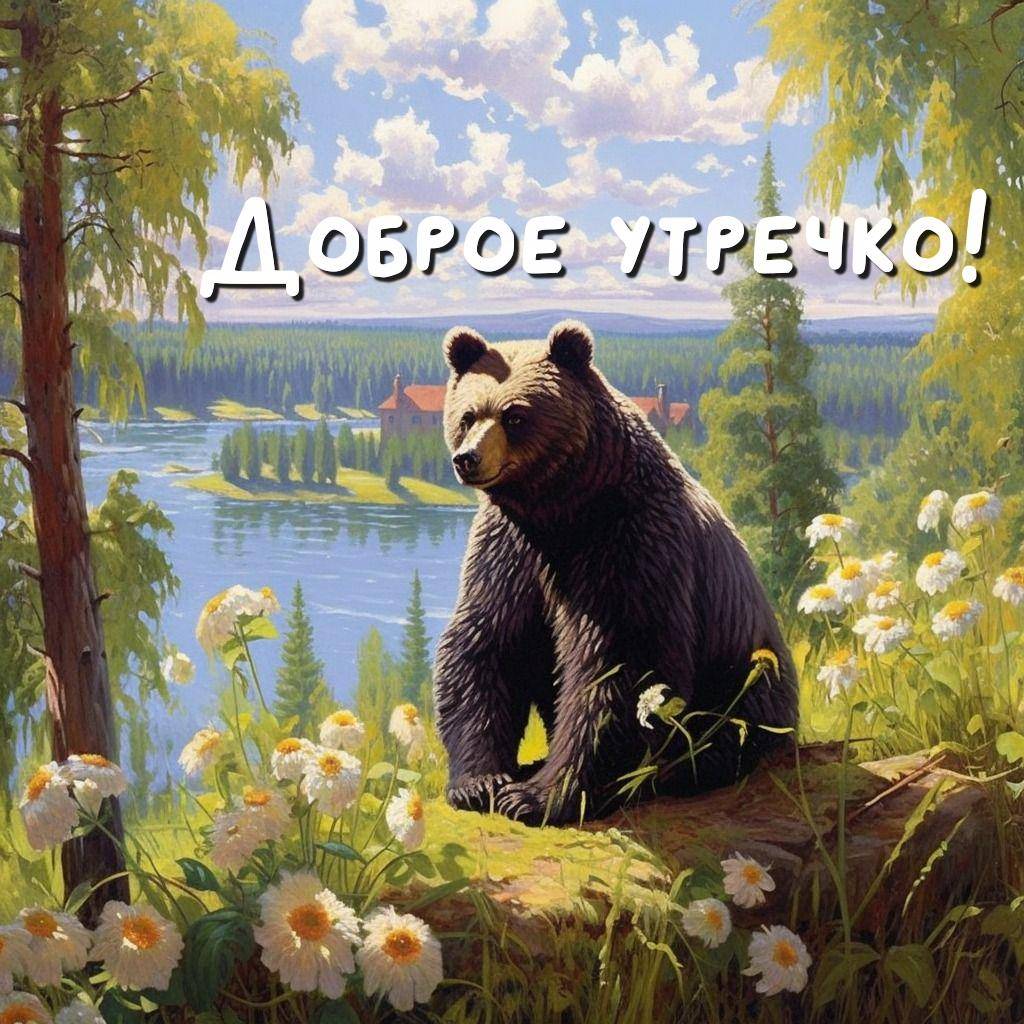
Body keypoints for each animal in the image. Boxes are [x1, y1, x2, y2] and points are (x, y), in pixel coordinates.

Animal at [433, 319, 797, 826]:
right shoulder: (511, 551)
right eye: (468, 416)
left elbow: (621, 663)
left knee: (725, 733)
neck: (562, 510)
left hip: (744, 686)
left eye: (515, 416)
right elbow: (488, 643)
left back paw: (681, 768)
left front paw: (538, 796)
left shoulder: (631, 543)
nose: (467, 458)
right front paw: (480, 782)